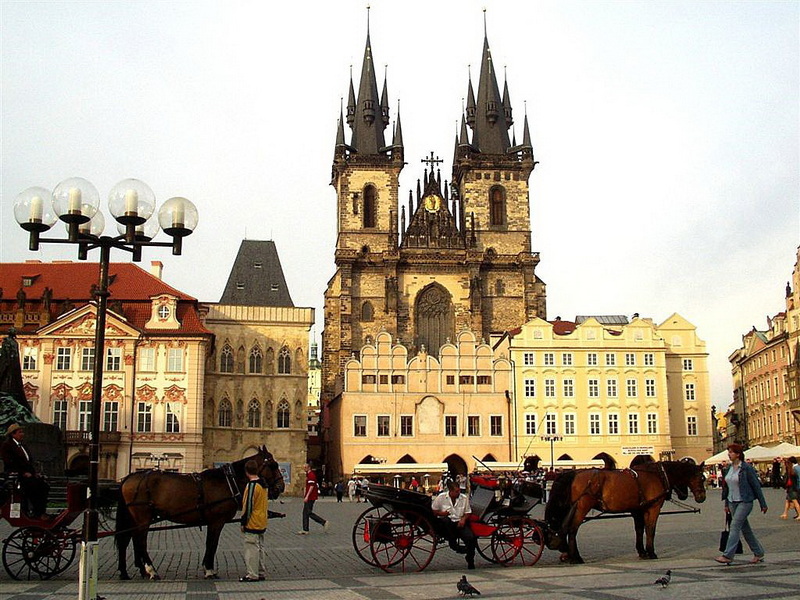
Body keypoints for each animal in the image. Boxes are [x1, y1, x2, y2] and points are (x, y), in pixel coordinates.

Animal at [114, 448, 284, 580]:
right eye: (273, 465)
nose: (281, 487)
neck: (226, 481)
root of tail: (128, 478)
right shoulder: (217, 521)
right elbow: (212, 544)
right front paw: (209, 570)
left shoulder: (213, 522)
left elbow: (210, 544)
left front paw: (207, 568)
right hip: (143, 517)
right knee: (140, 541)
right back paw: (151, 571)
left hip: (134, 518)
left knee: (128, 540)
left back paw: (128, 572)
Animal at [544, 462, 708, 564]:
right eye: (702, 477)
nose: (702, 497)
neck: (658, 475)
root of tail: (574, 473)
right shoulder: (653, 508)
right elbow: (651, 530)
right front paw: (651, 553)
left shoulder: (638, 510)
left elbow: (639, 530)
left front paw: (642, 552)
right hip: (582, 506)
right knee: (572, 530)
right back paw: (576, 557)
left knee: (565, 529)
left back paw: (568, 554)